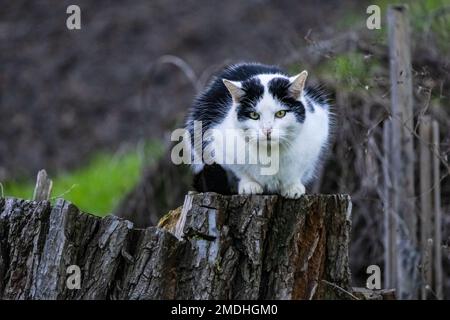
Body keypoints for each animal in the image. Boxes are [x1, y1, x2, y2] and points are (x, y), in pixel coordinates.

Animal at [186, 62, 330, 198]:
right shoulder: (218, 144)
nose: (267, 130)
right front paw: (249, 184)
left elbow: (299, 170)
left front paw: (292, 187)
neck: (270, 153)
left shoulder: (317, 138)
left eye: (281, 113)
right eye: (254, 115)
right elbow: (239, 170)